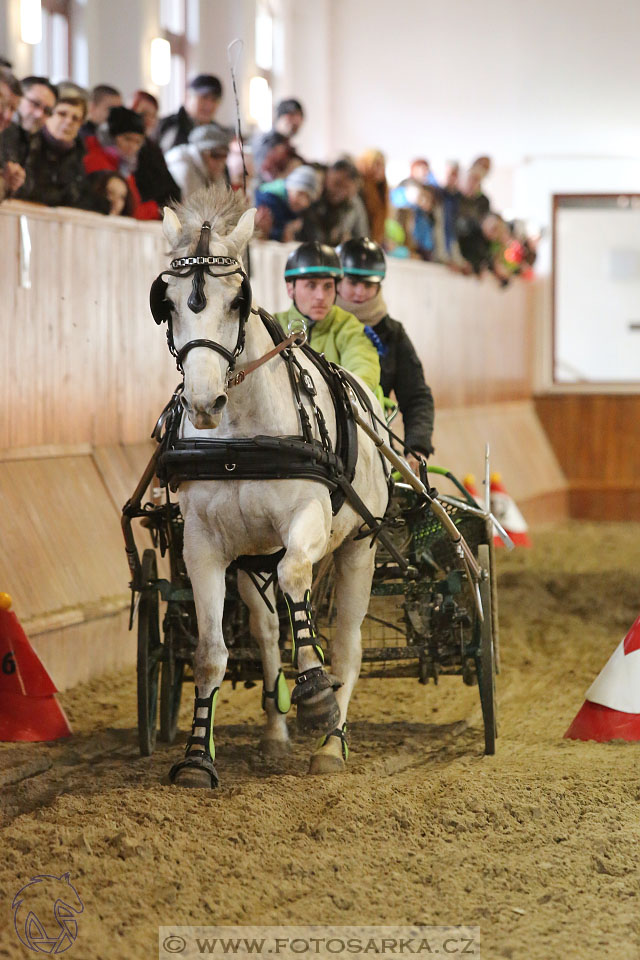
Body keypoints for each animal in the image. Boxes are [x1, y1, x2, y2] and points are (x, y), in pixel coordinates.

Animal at [158, 186, 388, 788]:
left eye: (237, 301)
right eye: (167, 302)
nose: (204, 402)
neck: (240, 441)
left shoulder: (308, 519)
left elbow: (295, 578)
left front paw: (315, 693)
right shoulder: (204, 546)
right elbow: (210, 654)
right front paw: (197, 757)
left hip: (360, 546)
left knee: (347, 643)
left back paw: (331, 741)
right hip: (249, 563)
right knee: (265, 630)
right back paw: (274, 734)